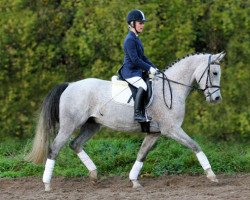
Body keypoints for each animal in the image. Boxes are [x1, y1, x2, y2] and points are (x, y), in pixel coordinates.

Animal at [25, 51, 227, 191]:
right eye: (214, 73)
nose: (216, 99)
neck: (171, 88)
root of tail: (70, 85)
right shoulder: (172, 129)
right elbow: (195, 146)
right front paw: (212, 175)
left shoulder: (155, 132)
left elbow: (141, 154)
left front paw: (134, 181)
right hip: (69, 125)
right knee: (54, 149)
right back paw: (47, 185)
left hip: (92, 125)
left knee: (75, 144)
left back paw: (94, 175)